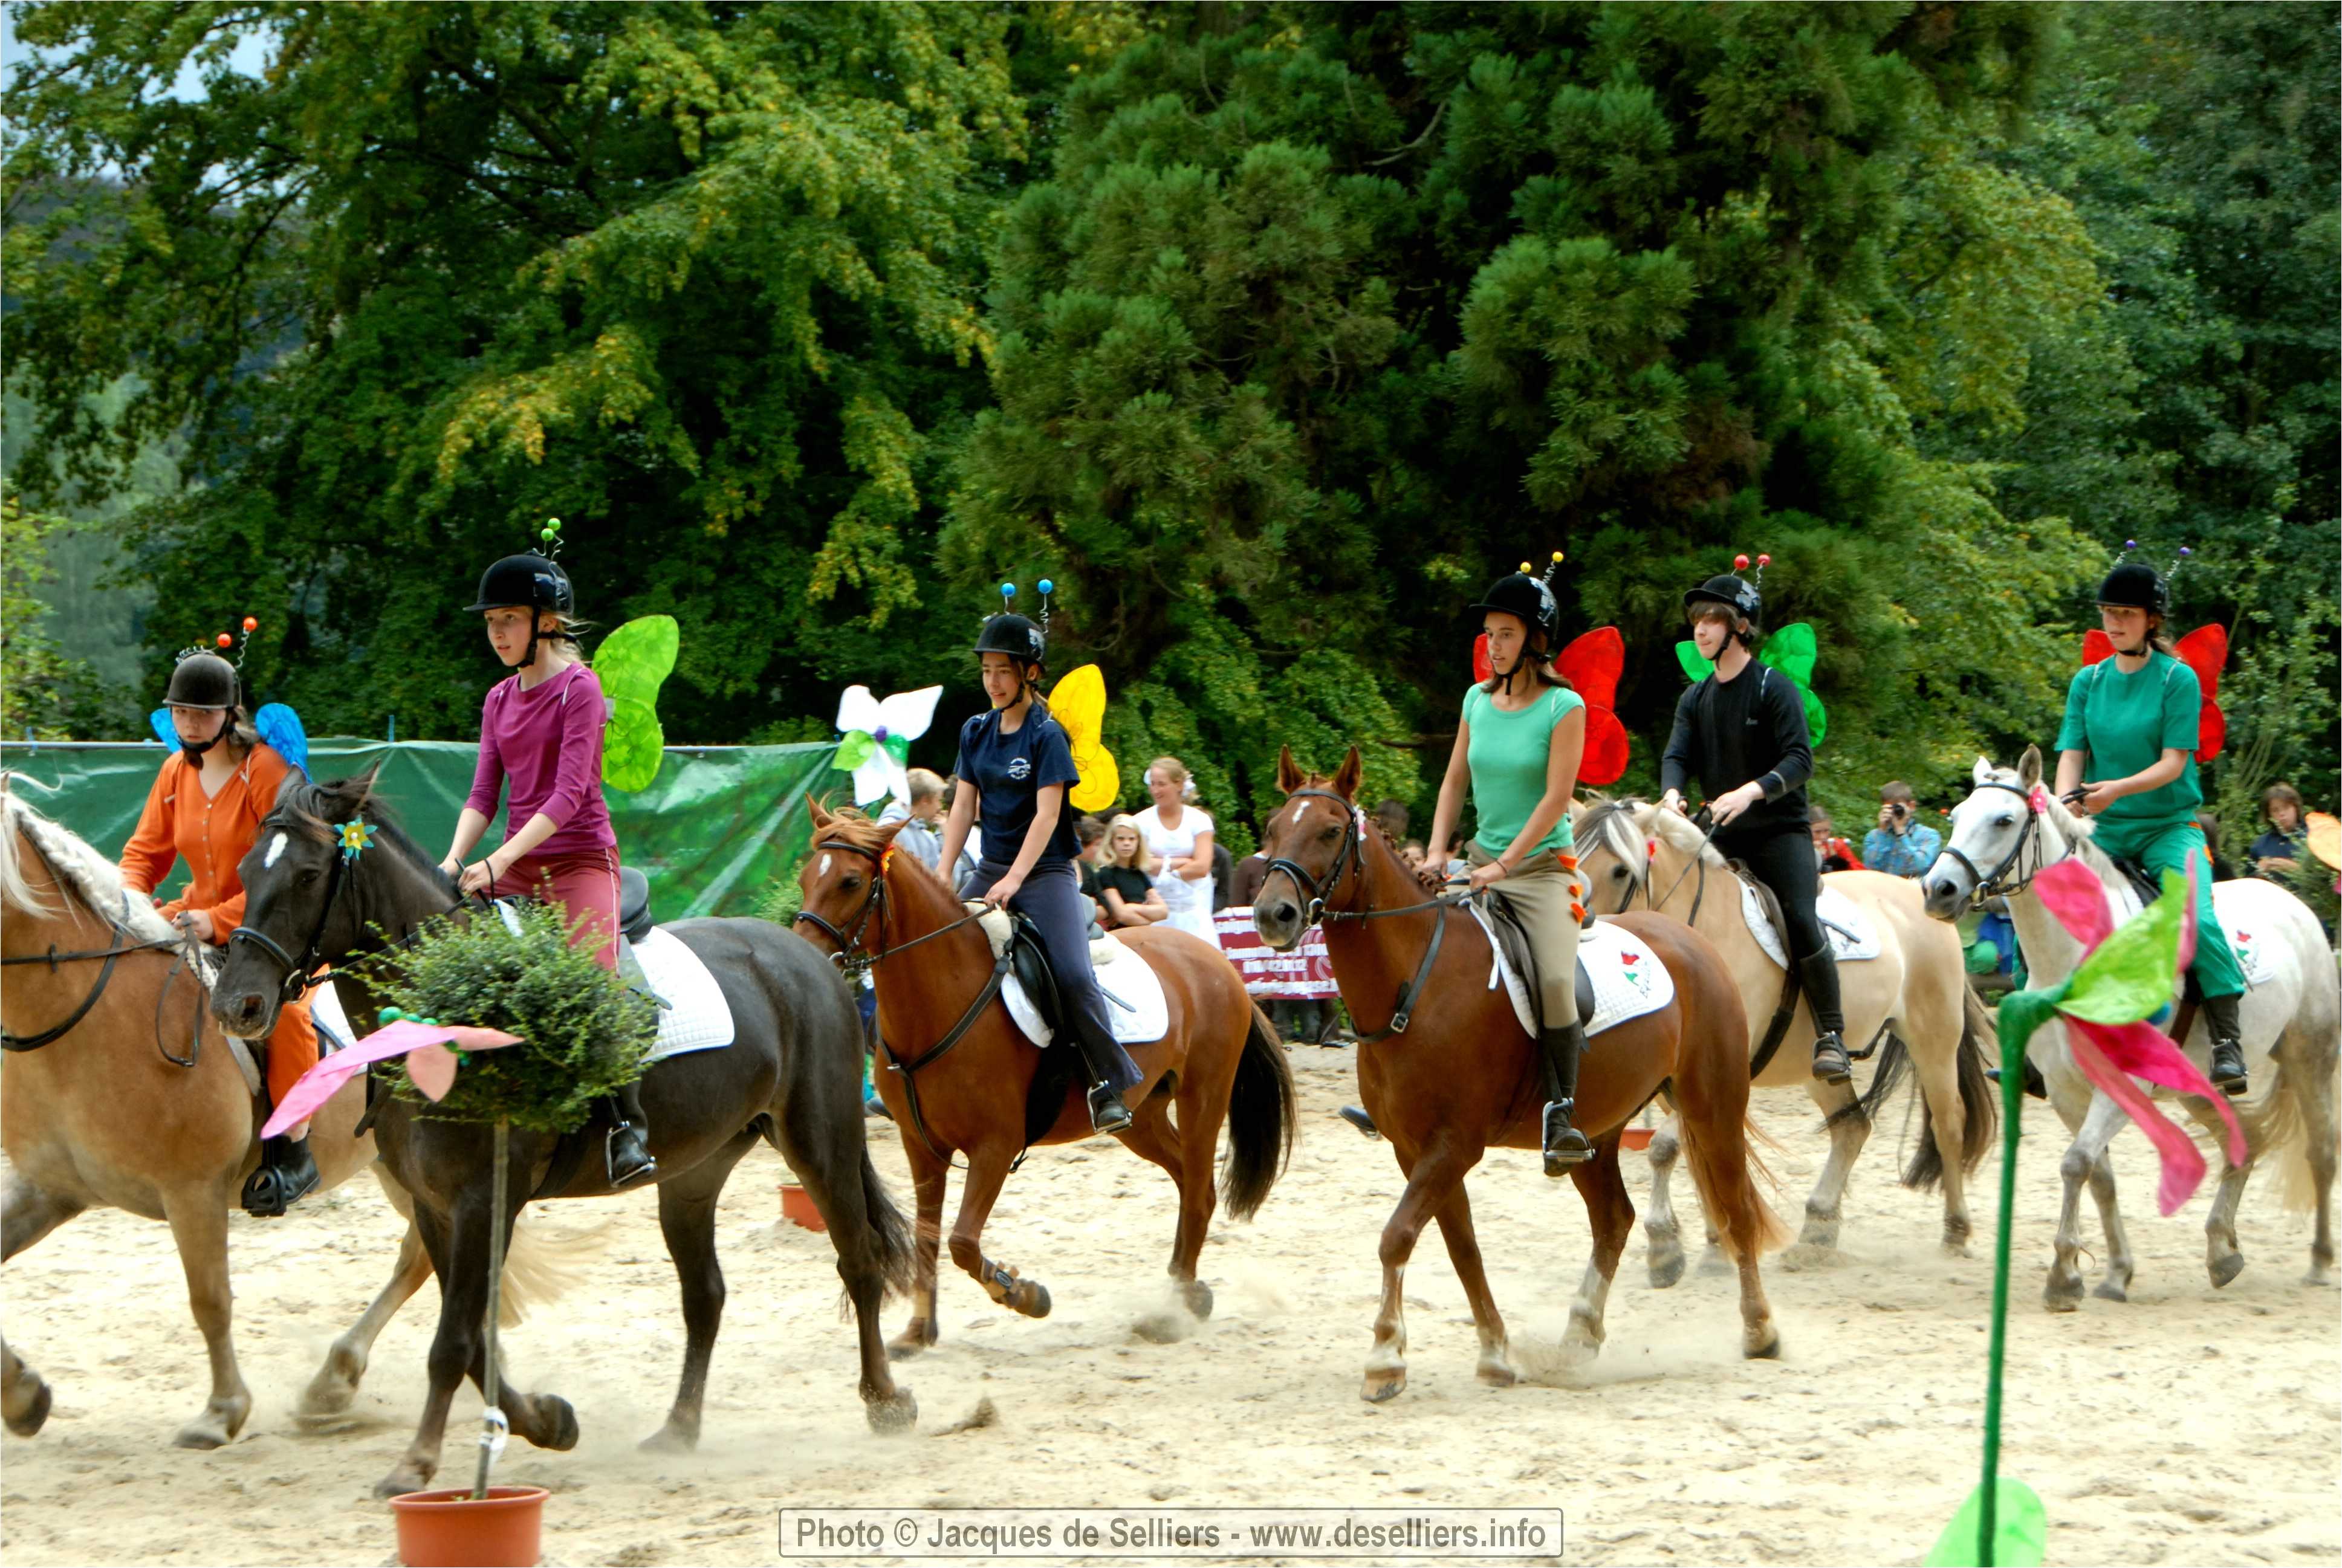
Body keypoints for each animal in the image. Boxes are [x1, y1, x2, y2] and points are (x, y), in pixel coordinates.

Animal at [211, 768, 917, 1497]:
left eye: (307, 875)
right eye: (245, 869)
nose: (237, 1005)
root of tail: (808, 956)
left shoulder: (483, 1199)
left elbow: (454, 1340)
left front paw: (417, 1462)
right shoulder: (437, 1206)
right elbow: (476, 1339)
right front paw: (549, 1420)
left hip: (820, 1141)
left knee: (859, 1261)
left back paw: (885, 1400)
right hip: (695, 1172)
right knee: (705, 1295)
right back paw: (679, 1429)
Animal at [792, 800, 1295, 1354]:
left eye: (851, 881)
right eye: (805, 878)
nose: (802, 954)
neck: (943, 997)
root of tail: (1219, 963)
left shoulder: (995, 1146)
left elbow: (962, 1242)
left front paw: (1023, 1294)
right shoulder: (921, 1146)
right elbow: (928, 1237)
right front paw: (920, 1331)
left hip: (1204, 1095)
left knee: (1201, 1190)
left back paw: (1173, 1311)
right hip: (1142, 1115)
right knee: (1189, 1182)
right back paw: (1187, 1294)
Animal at [1252, 748, 1786, 1400]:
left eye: (1330, 832)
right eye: (1274, 827)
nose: (1272, 914)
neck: (1417, 981)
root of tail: (1693, 941)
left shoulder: (1453, 1145)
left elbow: (1398, 1235)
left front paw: (1385, 1358)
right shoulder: (1416, 1150)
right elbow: (1462, 1248)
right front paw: (1494, 1352)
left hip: (1713, 1106)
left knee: (1735, 1208)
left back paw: (1759, 1328)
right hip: (1597, 1131)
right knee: (1614, 1220)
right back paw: (1578, 1335)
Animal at [1572, 798, 1997, 1277]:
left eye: (1619, 871)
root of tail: (1918, 890)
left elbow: (1665, 1147)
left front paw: (1665, 1244)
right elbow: (1698, 1155)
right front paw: (1714, 1247)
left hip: (1933, 1040)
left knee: (1949, 1125)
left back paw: (1955, 1230)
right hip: (1816, 1068)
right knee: (1852, 1127)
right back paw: (1818, 1230)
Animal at [1923, 748, 2340, 1306]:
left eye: (2004, 820)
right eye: (1956, 817)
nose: (1938, 889)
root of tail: (2291, 902)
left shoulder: (2121, 1086)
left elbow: (2076, 1163)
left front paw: (2064, 1277)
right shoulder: (2066, 1091)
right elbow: (2099, 1176)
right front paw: (2115, 1272)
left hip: (2310, 1056)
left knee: (2321, 1151)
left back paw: (2318, 1260)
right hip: (2198, 1087)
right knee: (2246, 1142)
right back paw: (2222, 1252)